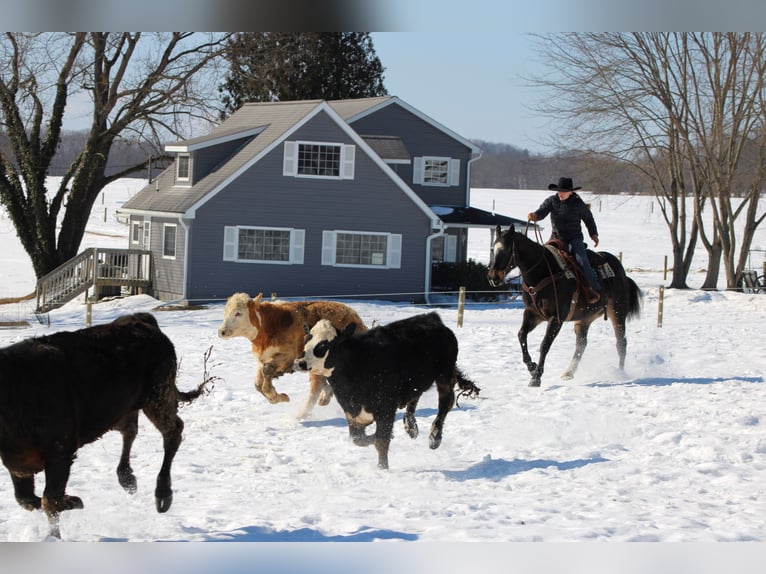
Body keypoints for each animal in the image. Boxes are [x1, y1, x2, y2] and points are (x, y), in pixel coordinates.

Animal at [487, 224, 642, 387]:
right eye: (493, 249)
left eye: (505, 250)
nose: (492, 277)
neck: (542, 272)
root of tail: (622, 272)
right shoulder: (532, 314)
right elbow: (521, 335)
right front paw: (532, 367)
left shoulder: (556, 318)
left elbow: (544, 344)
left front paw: (536, 377)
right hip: (584, 319)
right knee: (581, 344)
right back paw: (569, 372)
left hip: (617, 312)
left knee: (621, 343)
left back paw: (621, 373)